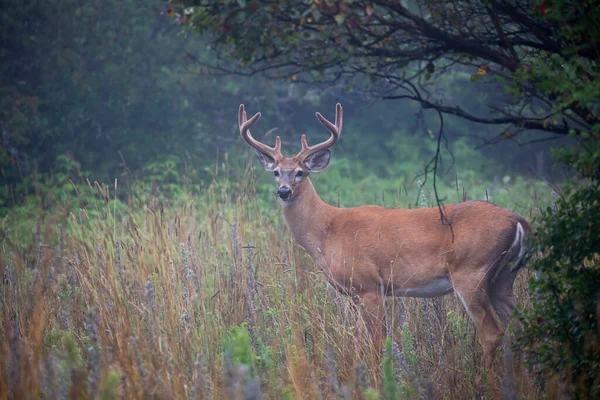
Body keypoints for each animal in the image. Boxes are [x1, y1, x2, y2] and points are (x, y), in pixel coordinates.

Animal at [237, 102, 532, 372]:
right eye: (276, 172)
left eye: (301, 172)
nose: (284, 191)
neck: (327, 232)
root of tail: (517, 220)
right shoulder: (353, 293)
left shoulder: (370, 284)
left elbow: (378, 343)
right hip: (504, 277)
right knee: (521, 325)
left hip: (472, 272)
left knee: (492, 332)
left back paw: (486, 381)